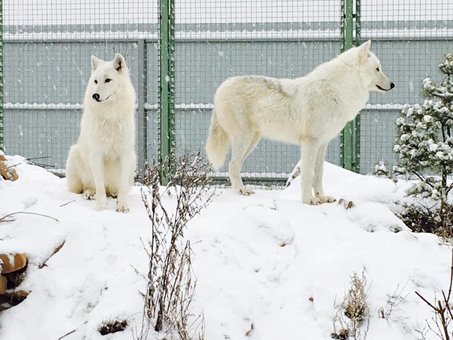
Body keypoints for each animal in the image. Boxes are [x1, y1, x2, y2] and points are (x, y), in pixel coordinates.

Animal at [65, 53, 136, 212]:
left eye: (108, 80)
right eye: (95, 81)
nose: (95, 95)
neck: (110, 116)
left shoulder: (125, 154)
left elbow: (122, 186)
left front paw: (122, 206)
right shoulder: (96, 154)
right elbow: (99, 185)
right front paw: (101, 207)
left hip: (133, 159)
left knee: (113, 189)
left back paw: (114, 195)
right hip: (74, 154)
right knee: (87, 188)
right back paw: (89, 194)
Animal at [205, 39, 392, 205]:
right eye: (377, 69)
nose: (393, 84)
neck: (337, 90)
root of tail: (221, 87)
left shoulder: (322, 143)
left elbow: (319, 174)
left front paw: (323, 198)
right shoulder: (310, 142)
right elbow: (308, 175)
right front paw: (309, 200)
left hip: (252, 141)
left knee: (235, 165)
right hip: (245, 139)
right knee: (232, 164)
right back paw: (241, 190)